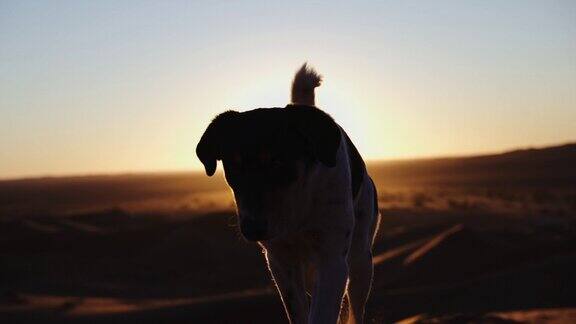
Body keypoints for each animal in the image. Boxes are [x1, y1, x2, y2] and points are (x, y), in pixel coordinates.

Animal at [196, 64, 380, 324]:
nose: (251, 229)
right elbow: (298, 310)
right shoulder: (280, 262)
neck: (296, 210)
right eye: (234, 166)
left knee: (355, 304)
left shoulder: (332, 258)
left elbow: (323, 312)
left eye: (277, 161)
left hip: (361, 260)